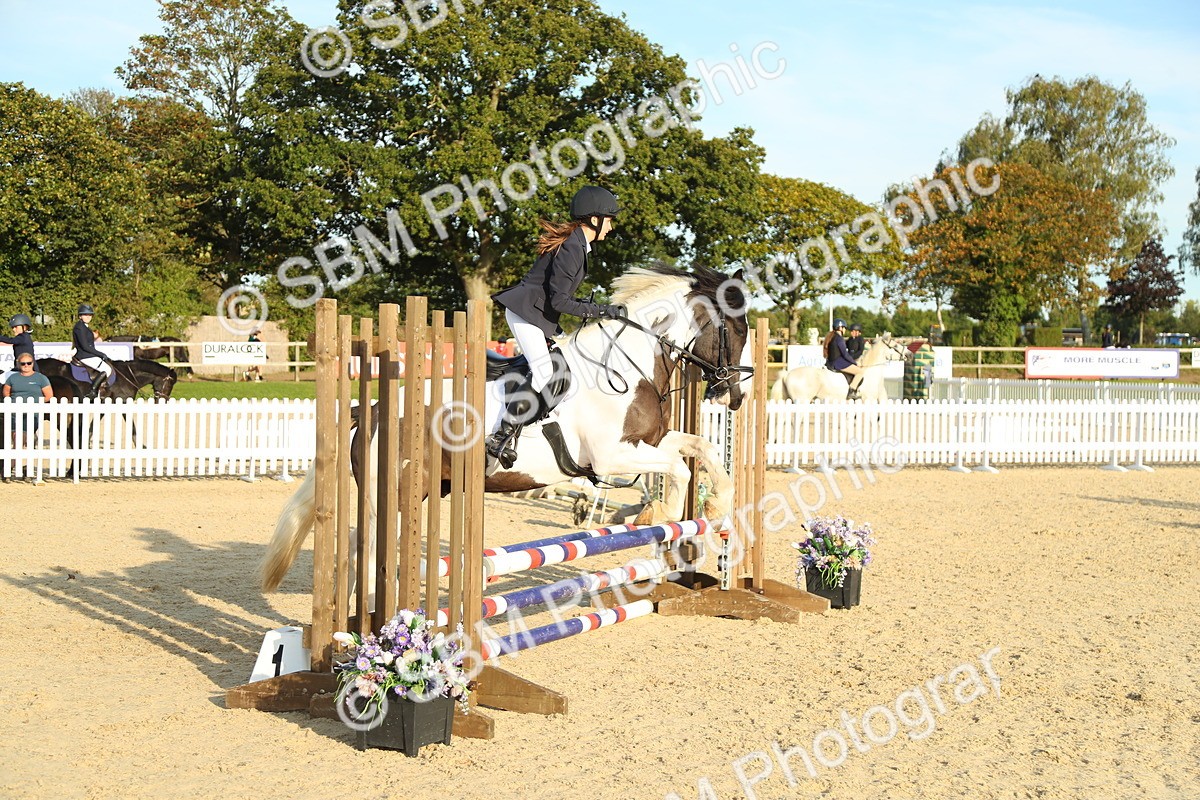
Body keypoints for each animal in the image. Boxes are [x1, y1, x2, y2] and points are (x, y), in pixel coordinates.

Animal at [261, 263, 754, 593]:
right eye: (735, 329)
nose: (736, 397)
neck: (624, 364)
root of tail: (375, 409)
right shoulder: (611, 456)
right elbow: (680, 469)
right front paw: (665, 518)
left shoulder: (646, 442)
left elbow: (703, 450)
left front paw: (710, 511)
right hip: (394, 494)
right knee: (370, 554)